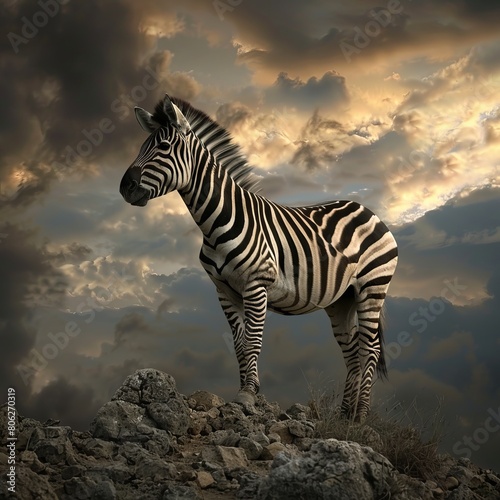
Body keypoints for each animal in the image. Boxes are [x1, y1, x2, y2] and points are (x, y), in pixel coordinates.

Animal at [120, 94, 398, 422]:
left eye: (163, 147)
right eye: (141, 147)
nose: (125, 187)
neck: (215, 221)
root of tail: (368, 210)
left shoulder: (256, 285)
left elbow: (252, 340)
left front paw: (248, 395)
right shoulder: (224, 290)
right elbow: (239, 344)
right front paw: (245, 391)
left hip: (372, 287)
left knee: (370, 350)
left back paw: (360, 418)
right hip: (342, 300)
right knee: (353, 353)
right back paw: (343, 419)